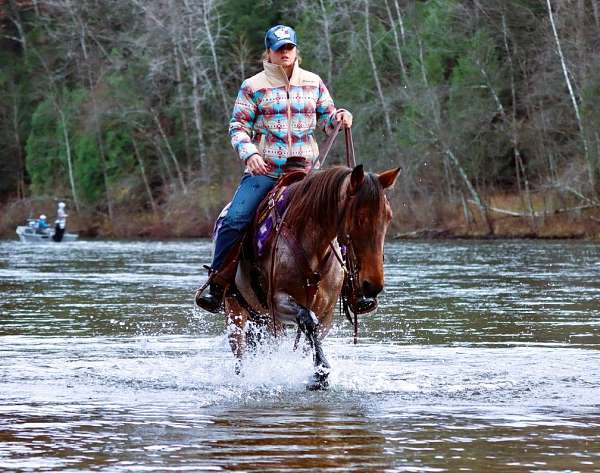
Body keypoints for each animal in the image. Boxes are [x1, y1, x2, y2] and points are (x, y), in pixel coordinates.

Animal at [223, 164, 400, 390]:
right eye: (359, 217)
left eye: (388, 217)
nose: (373, 286)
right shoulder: (276, 301)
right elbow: (307, 320)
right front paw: (321, 371)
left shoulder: (326, 311)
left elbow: (313, 335)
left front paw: (318, 374)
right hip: (236, 313)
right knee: (240, 353)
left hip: (261, 317)